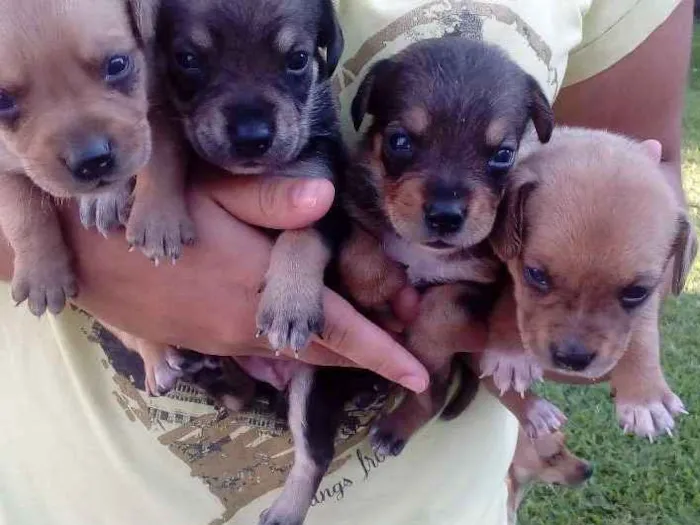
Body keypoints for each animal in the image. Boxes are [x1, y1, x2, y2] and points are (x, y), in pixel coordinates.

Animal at [0, 0, 194, 320]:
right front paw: (42, 275)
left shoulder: (159, 102)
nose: (92, 161)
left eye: (116, 64)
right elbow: (21, 213)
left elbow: (162, 151)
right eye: (2, 100)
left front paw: (157, 218)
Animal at [342, 36, 556, 454]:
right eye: (399, 141)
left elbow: (440, 311)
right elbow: (359, 255)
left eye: (503, 154)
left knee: (436, 390)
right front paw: (381, 289)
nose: (445, 215)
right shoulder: (349, 210)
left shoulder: (478, 282)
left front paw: (424, 341)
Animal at [482, 127, 696, 438]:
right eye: (536, 275)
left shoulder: (648, 297)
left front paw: (645, 396)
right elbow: (511, 298)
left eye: (636, 292)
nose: (572, 359)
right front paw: (510, 355)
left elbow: (642, 333)